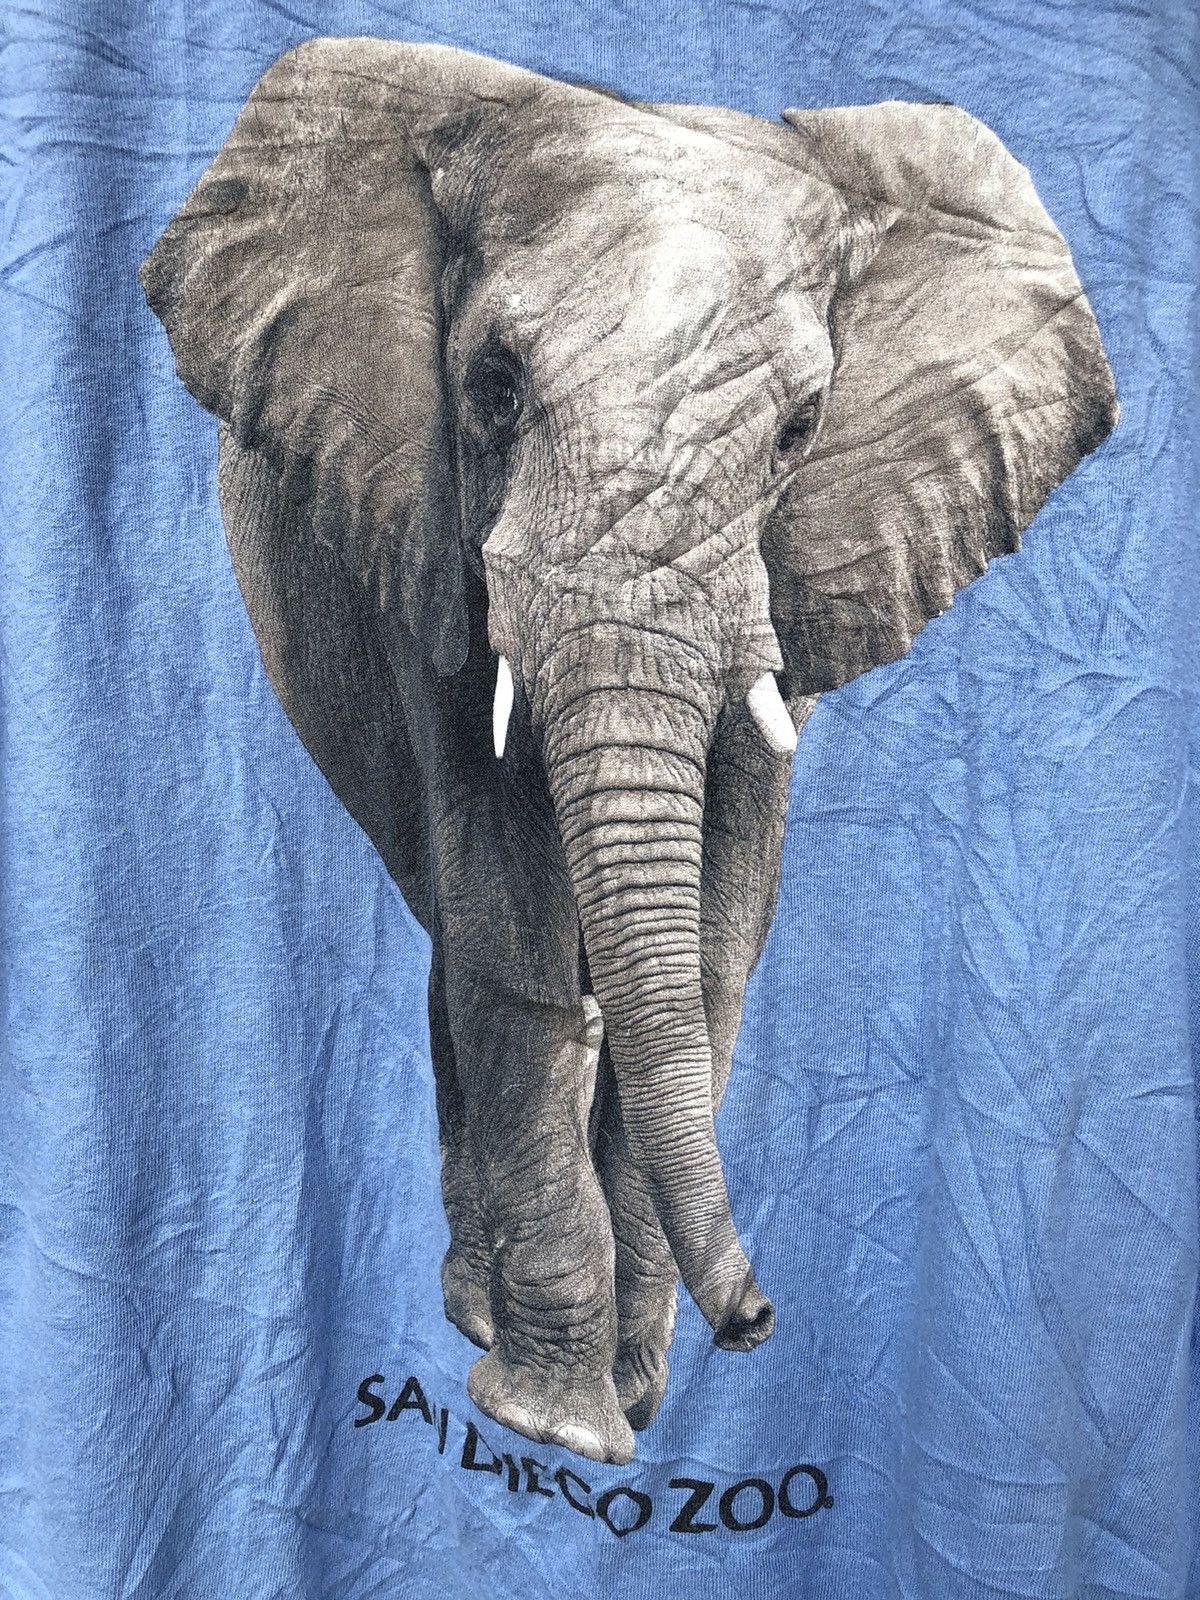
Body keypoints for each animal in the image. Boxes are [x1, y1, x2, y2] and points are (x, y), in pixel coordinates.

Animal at [139, 37, 1117, 1466]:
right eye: (492, 386)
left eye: (798, 430)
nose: (758, 1320)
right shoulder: (427, 532)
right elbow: (511, 930)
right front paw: (560, 1428)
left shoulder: (782, 587)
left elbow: (715, 937)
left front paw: (638, 1393)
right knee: (454, 936)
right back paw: (475, 1311)